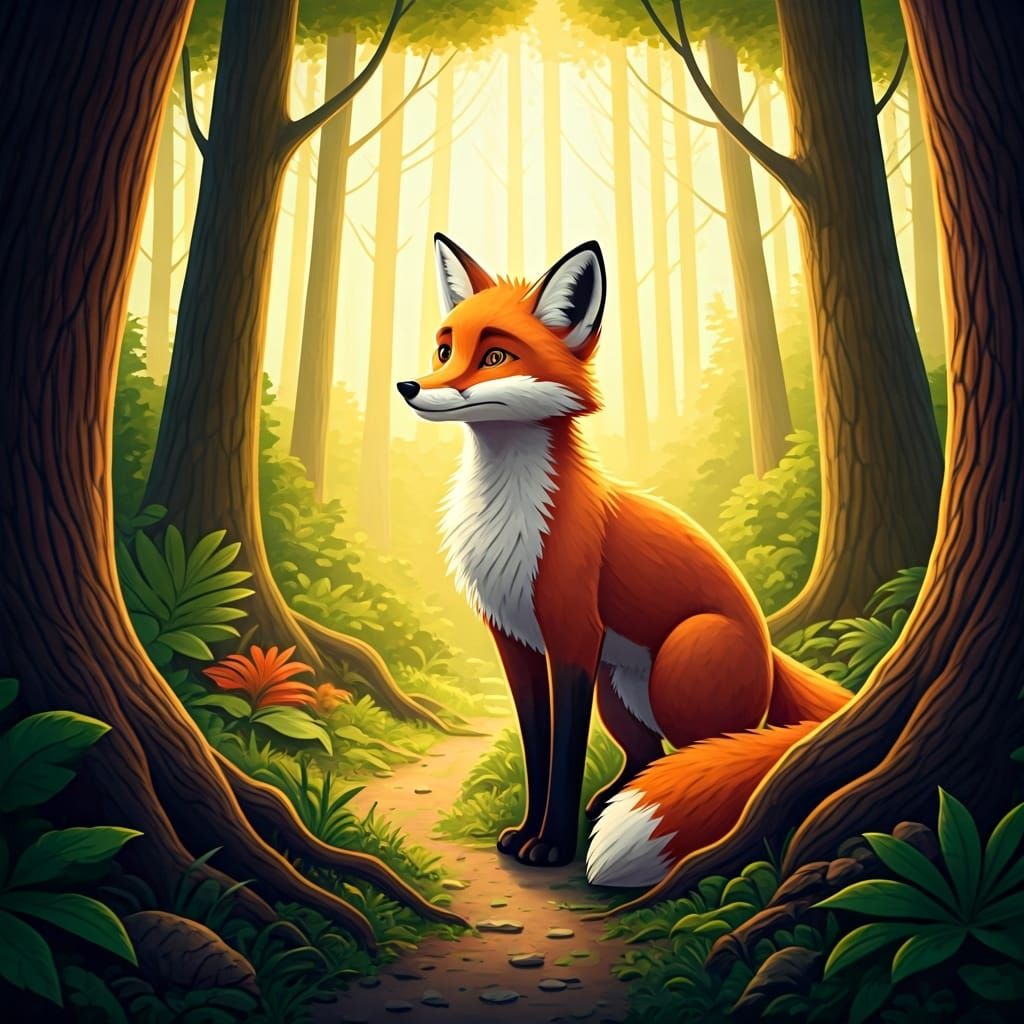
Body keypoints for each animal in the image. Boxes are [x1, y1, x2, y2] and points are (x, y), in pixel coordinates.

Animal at [395, 234, 851, 887]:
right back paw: (612, 798)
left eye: (495, 357)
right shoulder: (515, 643)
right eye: (444, 348)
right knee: (646, 756)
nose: (409, 386)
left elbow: (564, 754)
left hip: (681, 667)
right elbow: (537, 749)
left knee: (713, 751)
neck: (508, 517)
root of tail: (769, 648)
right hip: (619, 688)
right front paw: (525, 833)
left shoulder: (574, 636)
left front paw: (551, 846)